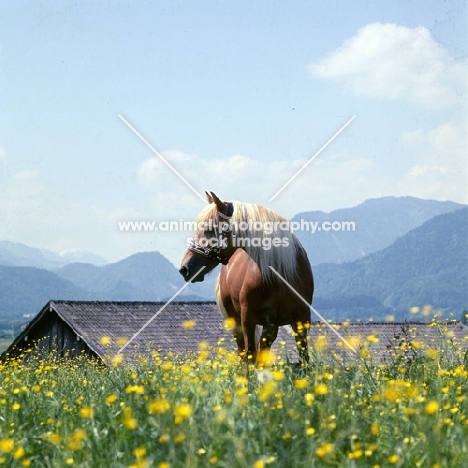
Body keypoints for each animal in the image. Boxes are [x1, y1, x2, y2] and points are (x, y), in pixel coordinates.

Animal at [179, 192, 314, 368]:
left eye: (209, 229)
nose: (184, 268)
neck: (279, 276)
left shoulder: (301, 319)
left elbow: (304, 358)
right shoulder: (248, 318)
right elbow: (250, 355)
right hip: (237, 321)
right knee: (243, 351)